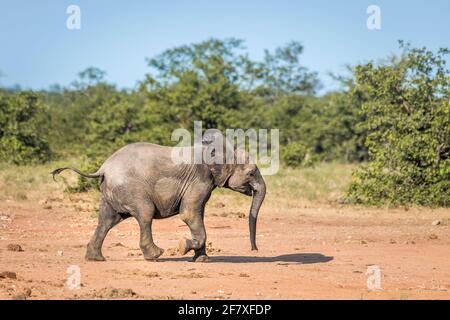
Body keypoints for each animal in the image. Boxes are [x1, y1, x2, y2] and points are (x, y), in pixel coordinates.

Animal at [51, 142, 266, 262]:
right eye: (251, 172)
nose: (254, 249)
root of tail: (103, 168)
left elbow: (197, 215)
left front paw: (202, 260)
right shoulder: (200, 179)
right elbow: (189, 214)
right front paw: (183, 246)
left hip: (111, 192)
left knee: (106, 221)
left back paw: (96, 259)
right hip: (131, 188)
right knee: (144, 214)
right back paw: (155, 255)